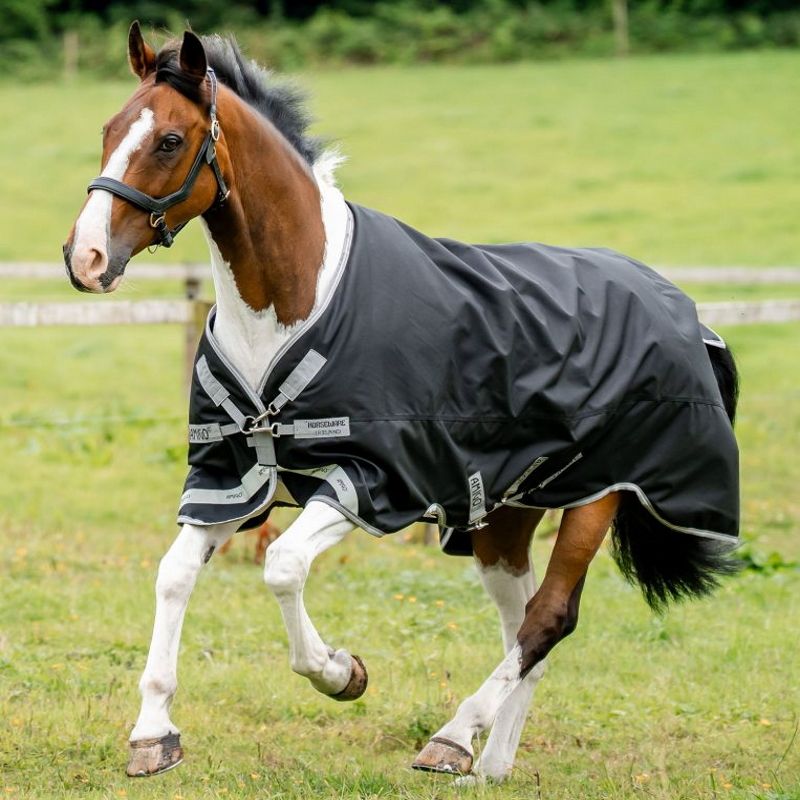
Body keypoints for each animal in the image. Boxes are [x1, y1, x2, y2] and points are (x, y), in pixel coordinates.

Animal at [63, 23, 741, 783]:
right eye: (109, 129)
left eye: (170, 140)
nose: (85, 258)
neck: (289, 304)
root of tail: (683, 308)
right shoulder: (228, 479)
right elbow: (174, 575)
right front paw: (154, 734)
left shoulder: (368, 480)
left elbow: (283, 566)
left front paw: (341, 673)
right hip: (503, 515)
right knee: (524, 627)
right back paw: (489, 765)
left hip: (600, 495)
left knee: (549, 618)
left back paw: (453, 738)